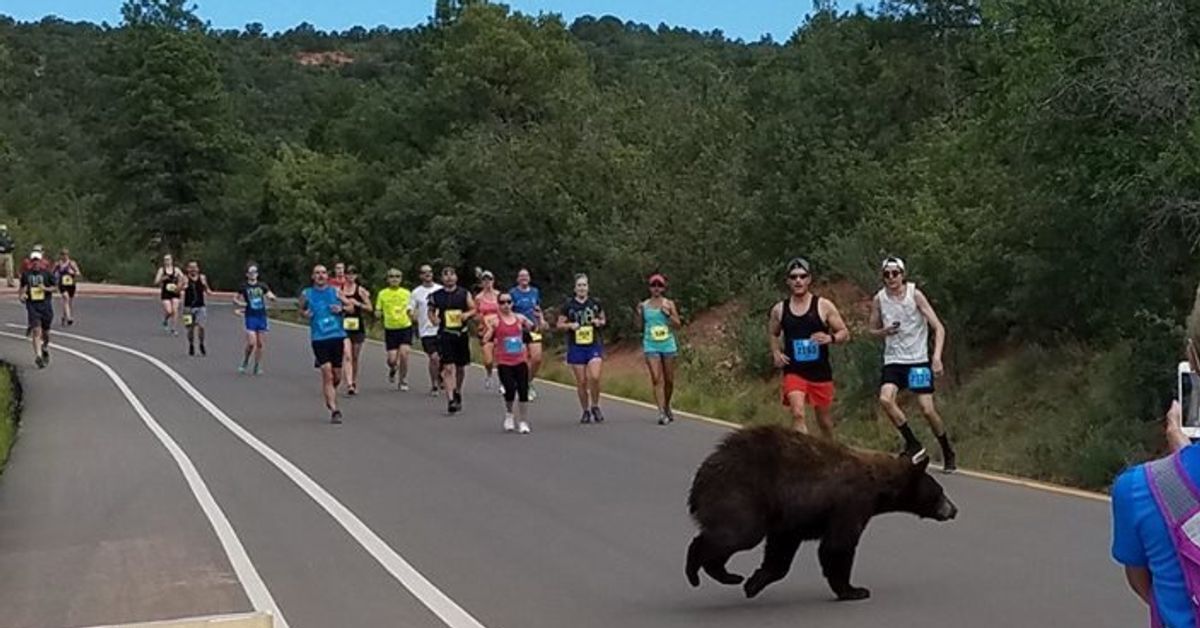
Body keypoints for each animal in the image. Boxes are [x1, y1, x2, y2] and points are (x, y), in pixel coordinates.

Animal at [686, 425, 955, 602]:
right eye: (940, 492)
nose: (953, 509)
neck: (880, 486)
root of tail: (700, 479)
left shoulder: (793, 517)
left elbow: (781, 549)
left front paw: (756, 581)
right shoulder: (851, 503)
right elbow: (838, 546)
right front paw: (854, 590)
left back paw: (726, 575)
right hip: (740, 494)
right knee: (737, 534)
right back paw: (701, 571)